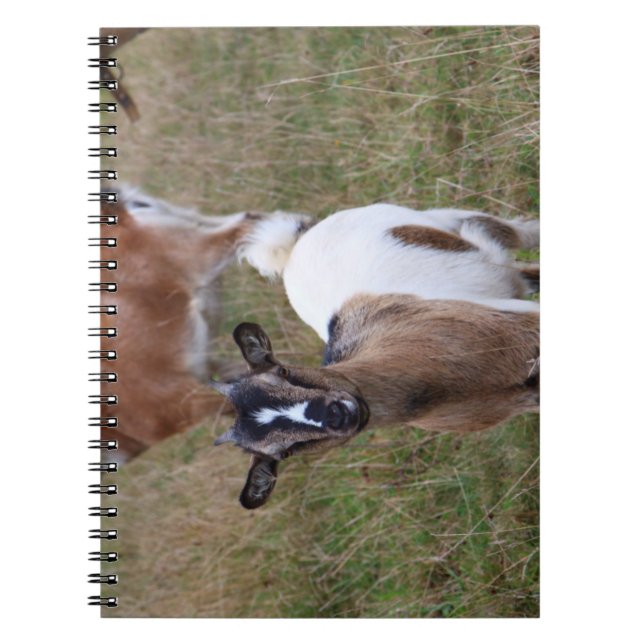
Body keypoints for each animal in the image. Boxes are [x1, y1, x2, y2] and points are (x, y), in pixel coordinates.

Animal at [212, 205, 539, 508]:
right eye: (285, 452)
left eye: (283, 372)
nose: (337, 414)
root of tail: (293, 250)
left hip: (437, 224)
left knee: (504, 233)